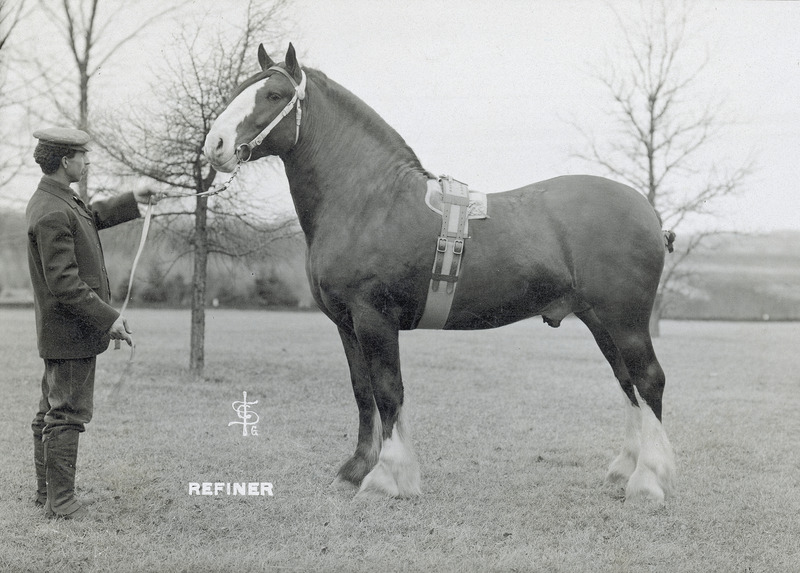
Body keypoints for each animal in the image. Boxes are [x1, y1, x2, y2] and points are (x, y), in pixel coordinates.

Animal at [205, 43, 676, 500]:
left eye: (273, 95)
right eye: (241, 88)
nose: (215, 144)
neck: (369, 202)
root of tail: (648, 211)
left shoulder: (374, 317)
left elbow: (388, 391)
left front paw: (386, 477)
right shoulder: (346, 324)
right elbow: (363, 393)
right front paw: (355, 470)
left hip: (626, 321)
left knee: (649, 380)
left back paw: (648, 481)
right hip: (599, 321)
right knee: (627, 383)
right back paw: (625, 469)